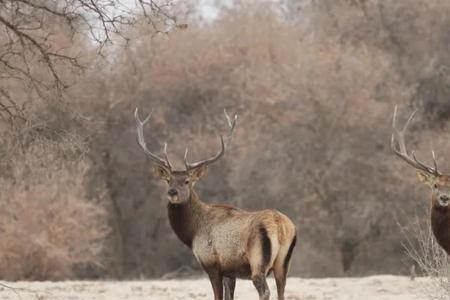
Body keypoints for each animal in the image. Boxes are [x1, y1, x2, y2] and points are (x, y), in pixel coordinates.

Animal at [135, 108, 298, 300]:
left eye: (187, 181)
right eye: (168, 180)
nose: (172, 192)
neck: (192, 233)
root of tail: (282, 227)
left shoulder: (212, 264)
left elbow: (218, 296)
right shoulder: (230, 271)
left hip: (258, 260)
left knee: (265, 291)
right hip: (283, 264)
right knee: (281, 291)